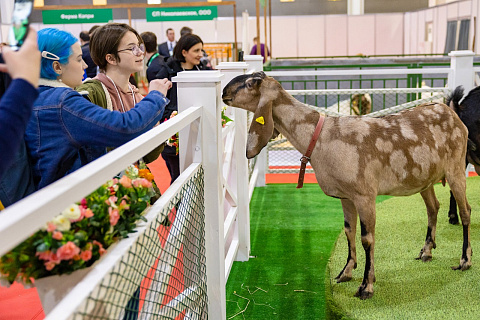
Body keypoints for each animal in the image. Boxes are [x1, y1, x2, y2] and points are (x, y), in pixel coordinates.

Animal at [222, 71, 472, 298]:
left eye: (251, 82)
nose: (224, 92)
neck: (320, 137)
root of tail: (451, 112)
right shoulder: (346, 196)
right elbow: (348, 231)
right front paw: (346, 272)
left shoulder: (365, 195)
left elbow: (367, 238)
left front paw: (366, 286)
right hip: (424, 178)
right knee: (433, 207)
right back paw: (426, 251)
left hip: (456, 168)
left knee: (465, 211)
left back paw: (465, 260)